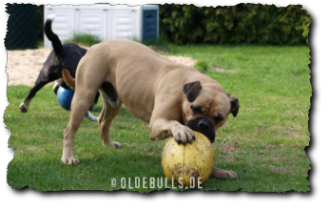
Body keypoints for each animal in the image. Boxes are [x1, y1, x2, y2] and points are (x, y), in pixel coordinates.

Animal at [61, 39, 240, 179]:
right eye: (195, 108)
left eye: (219, 118)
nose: (204, 124)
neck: (183, 93)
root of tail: (93, 46)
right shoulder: (156, 123)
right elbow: (173, 122)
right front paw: (181, 130)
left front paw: (218, 171)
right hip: (84, 97)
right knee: (69, 131)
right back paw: (68, 157)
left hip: (114, 102)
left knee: (103, 121)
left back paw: (108, 144)